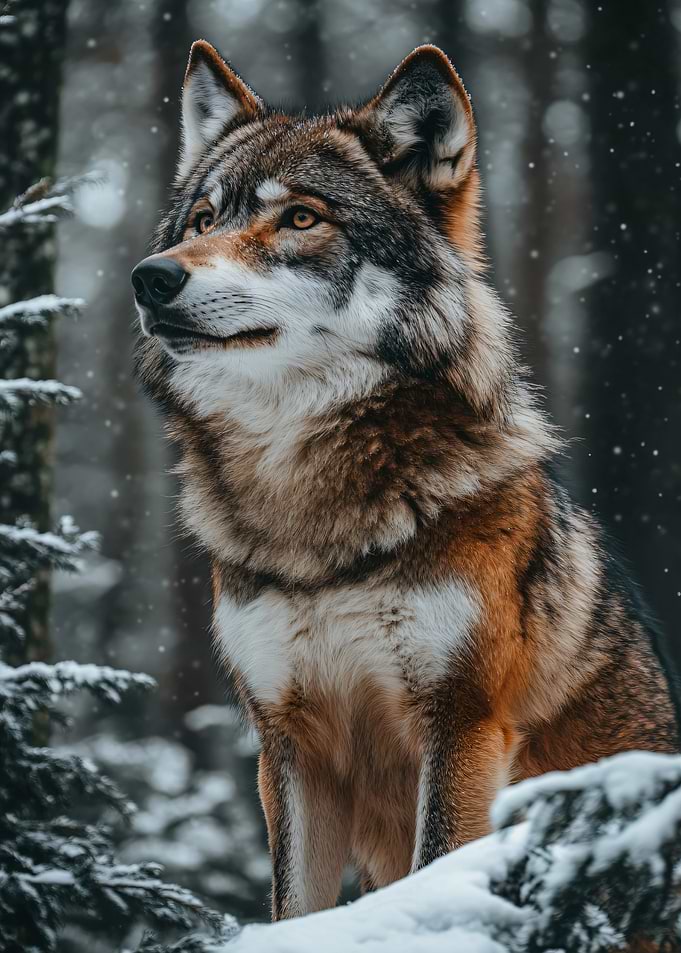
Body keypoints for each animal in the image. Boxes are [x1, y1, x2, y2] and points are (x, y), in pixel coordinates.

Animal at [132, 41, 680, 919]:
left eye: (301, 218)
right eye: (204, 221)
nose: (151, 277)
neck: (313, 523)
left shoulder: (461, 724)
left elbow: (436, 868)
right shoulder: (288, 745)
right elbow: (294, 908)